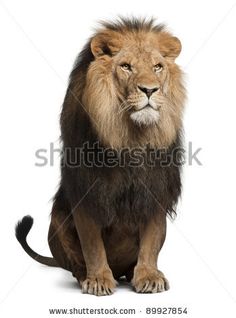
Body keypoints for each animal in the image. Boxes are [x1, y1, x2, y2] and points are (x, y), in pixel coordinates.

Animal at [16, 17, 186, 296]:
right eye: (126, 67)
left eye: (158, 67)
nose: (150, 90)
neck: (130, 137)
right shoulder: (87, 191)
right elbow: (92, 244)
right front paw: (97, 280)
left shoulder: (155, 190)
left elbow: (150, 241)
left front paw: (149, 276)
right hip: (57, 222)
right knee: (74, 263)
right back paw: (85, 275)